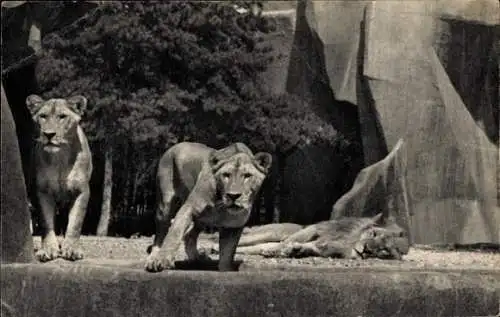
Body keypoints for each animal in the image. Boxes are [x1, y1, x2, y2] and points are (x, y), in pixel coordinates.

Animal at [26, 94, 93, 262]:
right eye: (43, 116)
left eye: (62, 116)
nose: (49, 134)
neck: (60, 158)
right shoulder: (42, 192)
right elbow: (46, 223)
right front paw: (48, 249)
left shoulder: (81, 191)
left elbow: (75, 223)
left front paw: (72, 249)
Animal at [145, 142, 272, 270]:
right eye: (226, 175)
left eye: (247, 175)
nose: (233, 196)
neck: (222, 206)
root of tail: (175, 146)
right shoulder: (189, 208)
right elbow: (175, 232)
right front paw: (162, 260)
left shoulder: (234, 224)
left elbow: (228, 253)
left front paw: (225, 269)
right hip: (165, 204)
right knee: (160, 235)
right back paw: (153, 259)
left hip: (202, 220)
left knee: (189, 235)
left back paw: (197, 258)